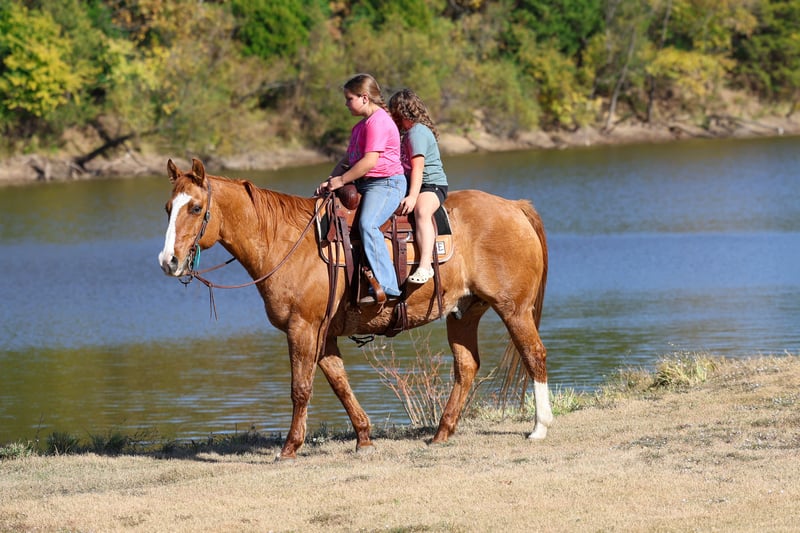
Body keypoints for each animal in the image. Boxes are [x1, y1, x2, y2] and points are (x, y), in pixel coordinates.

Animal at [158, 158, 552, 459]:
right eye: (167, 209)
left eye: (196, 208)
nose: (168, 261)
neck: (286, 240)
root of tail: (514, 206)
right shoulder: (323, 334)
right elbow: (339, 383)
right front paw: (363, 437)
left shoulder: (302, 328)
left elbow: (300, 388)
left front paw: (290, 448)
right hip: (464, 312)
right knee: (467, 366)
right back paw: (442, 432)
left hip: (514, 309)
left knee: (534, 355)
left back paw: (539, 427)